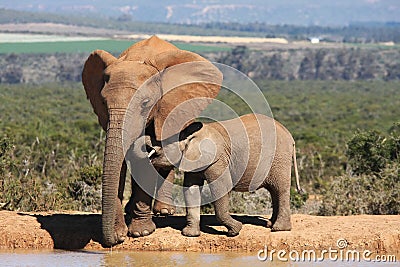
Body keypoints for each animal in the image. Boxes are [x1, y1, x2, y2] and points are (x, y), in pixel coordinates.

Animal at [82, 35, 222, 247]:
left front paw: (141, 233)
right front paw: (120, 232)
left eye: (145, 103)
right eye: (104, 103)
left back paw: (163, 211)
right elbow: (121, 162)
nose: (114, 240)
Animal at [142, 114, 302, 238]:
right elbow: (191, 190)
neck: (190, 134)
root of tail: (291, 137)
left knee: (280, 189)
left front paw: (235, 231)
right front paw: (190, 234)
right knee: (274, 191)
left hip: (280, 156)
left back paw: (278, 229)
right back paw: (270, 224)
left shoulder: (218, 159)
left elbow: (221, 187)